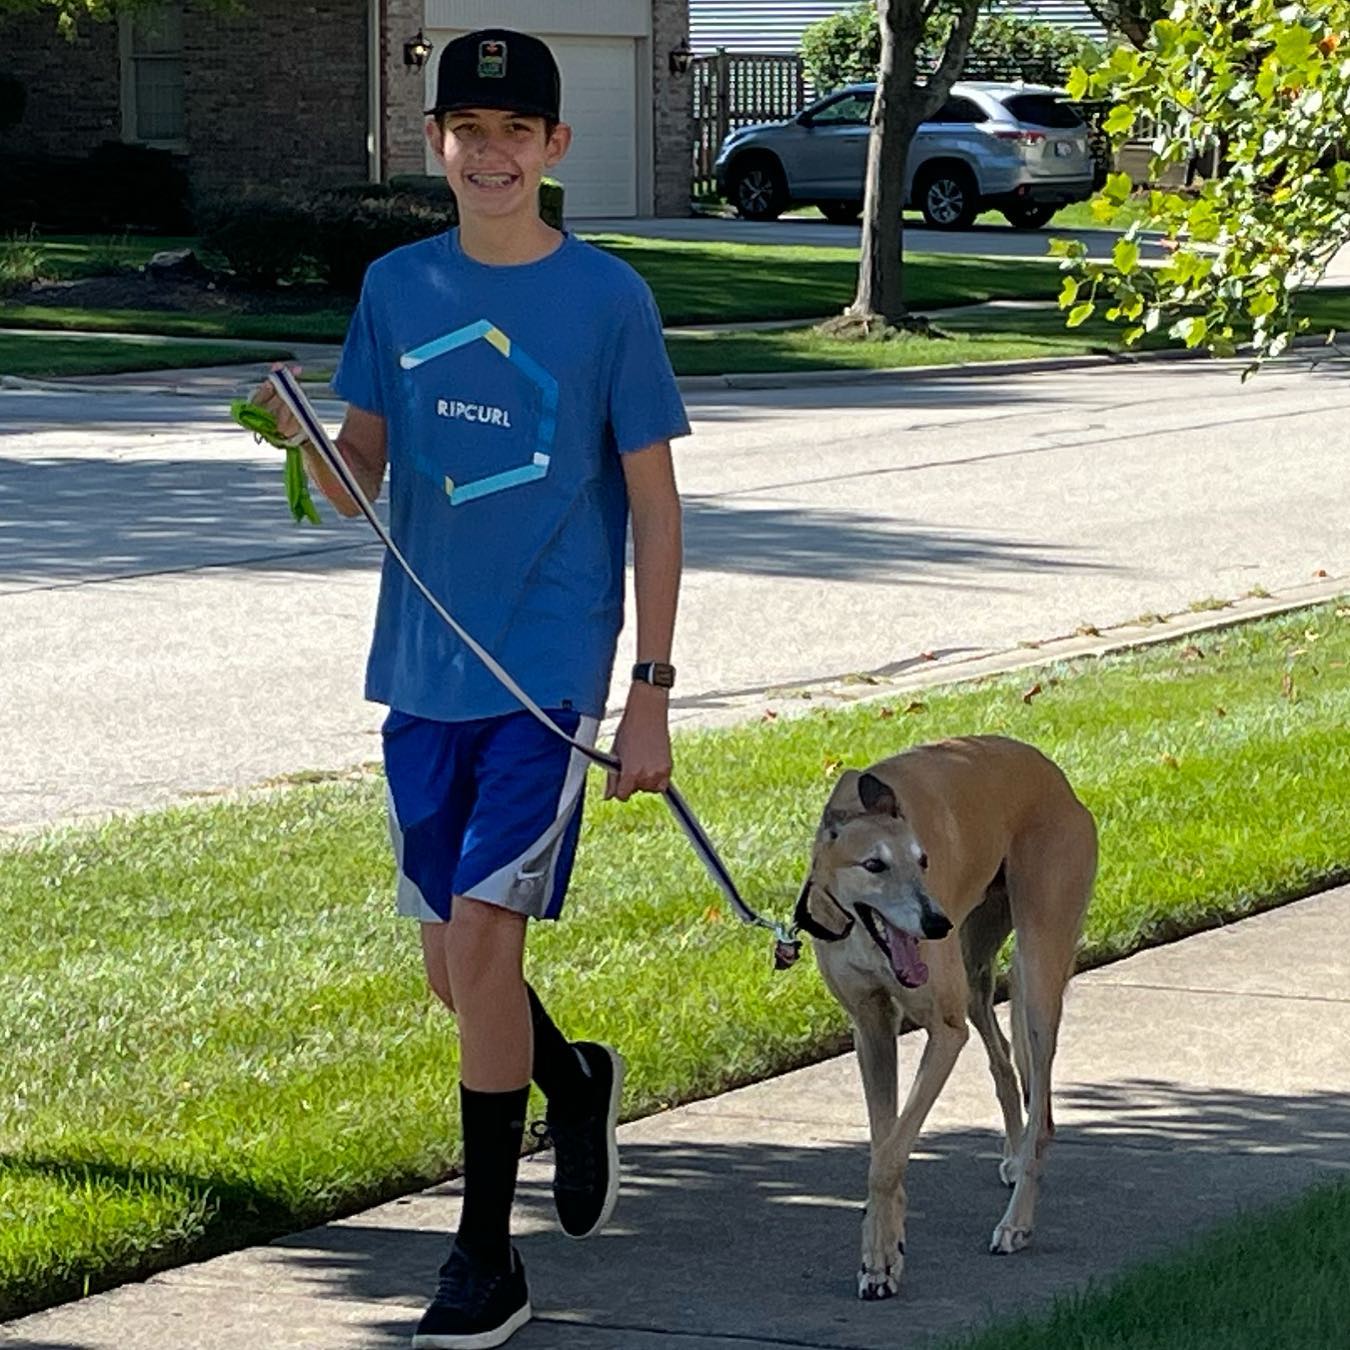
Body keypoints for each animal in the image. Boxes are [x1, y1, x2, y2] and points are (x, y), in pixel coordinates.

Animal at [788, 739, 1096, 1296]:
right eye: (874, 864)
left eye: (924, 860)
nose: (936, 923)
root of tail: (1057, 779)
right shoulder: (871, 1027)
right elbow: (884, 1142)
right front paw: (884, 1249)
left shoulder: (945, 1031)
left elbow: (889, 1155)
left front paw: (879, 1257)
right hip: (975, 968)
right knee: (1003, 1060)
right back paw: (1014, 1155)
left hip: (1037, 963)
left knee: (1041, 1108)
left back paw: (1016, 1221)